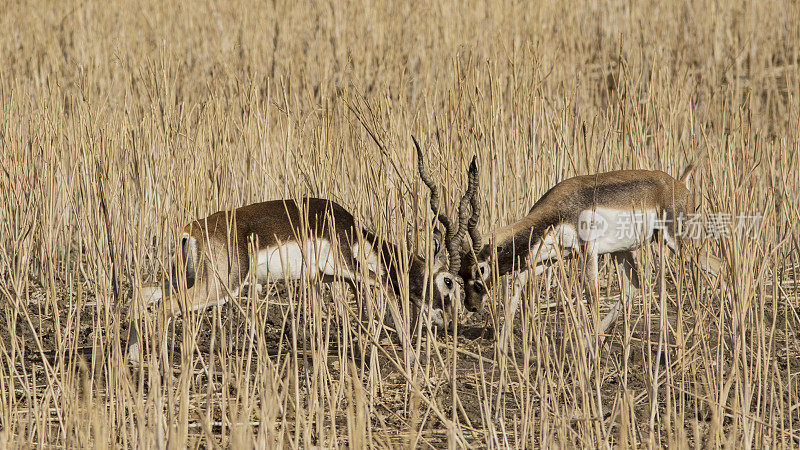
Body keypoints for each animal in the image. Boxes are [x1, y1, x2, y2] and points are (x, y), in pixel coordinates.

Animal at [126, 188, 476, 364]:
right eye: (448, 281)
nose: (448, 321)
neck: (352, 231)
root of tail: (192, 229)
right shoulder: (349, 267)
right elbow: (386, 287)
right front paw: (410, 356)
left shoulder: (329, 279)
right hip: (221, 286)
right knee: (165, 308)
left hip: (186, 278)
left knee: (143, 293)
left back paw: (132, 359)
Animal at [454, 165, 728, 356]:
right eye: (460, 275)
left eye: (479, 270)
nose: (471, 306)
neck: (561, 209)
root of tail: (679, 184)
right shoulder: (549, 258)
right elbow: (516, 287)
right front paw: (501, 345)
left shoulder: (588, 252)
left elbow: (592, 294)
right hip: (623, 251)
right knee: (631, 287)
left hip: (679, 243)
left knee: (721, 266)